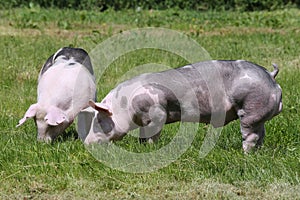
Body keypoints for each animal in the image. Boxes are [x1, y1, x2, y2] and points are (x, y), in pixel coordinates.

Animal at [81, 60, 282, 152]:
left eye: (99, 120)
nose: (86, 143)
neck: (125, 105)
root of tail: (270, 77)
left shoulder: (157, 113)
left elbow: (153, 134)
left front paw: (151, 148)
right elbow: (143, 134)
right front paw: (142, 146)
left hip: (251, 110)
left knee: (251, 135)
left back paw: (244, 153)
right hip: (258, 116)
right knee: (261, 133)